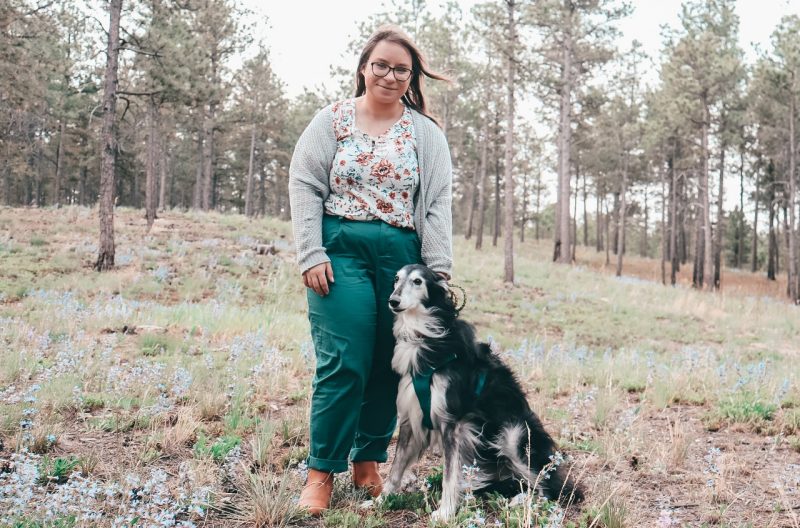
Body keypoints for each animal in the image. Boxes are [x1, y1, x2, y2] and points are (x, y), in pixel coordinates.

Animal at [382, 266, 580, 520]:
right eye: (396, 279)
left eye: (418, 281)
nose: (393, 301)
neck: (425, 336)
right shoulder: (411, 416)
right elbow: (396, 468)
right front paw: (380, 499)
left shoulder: (453, 425)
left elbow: (450, 476)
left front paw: (445, 512)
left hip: (513, 434)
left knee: (546, 488)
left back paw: (523, 502)